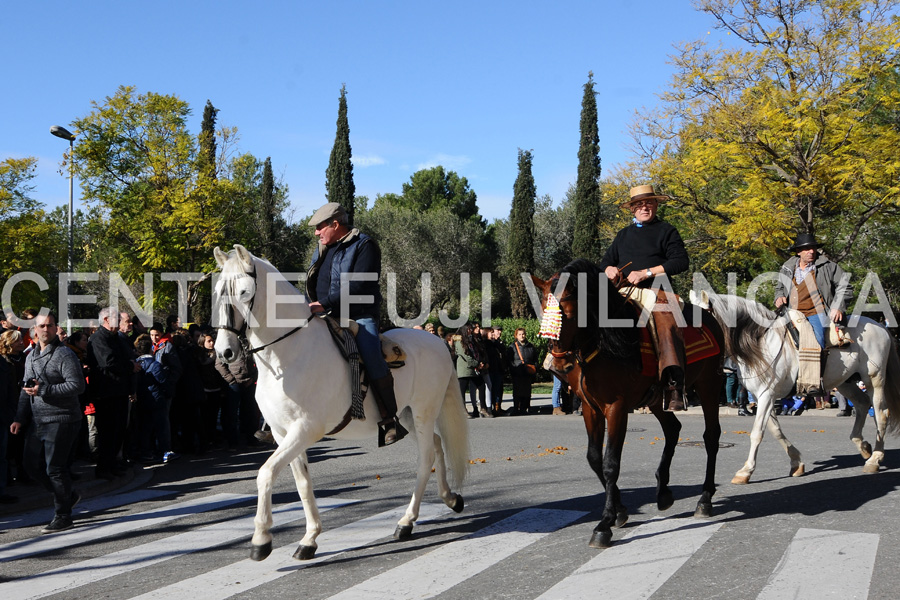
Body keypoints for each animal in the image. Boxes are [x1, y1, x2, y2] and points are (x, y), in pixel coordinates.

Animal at [214, 245, 468, 564]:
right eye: (217, 291)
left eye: (245, 292)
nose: (224, 352)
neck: (288, 354)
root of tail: (437, 342)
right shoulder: (284, 435)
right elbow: (302, 483)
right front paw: (309, 539)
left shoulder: (305, 430)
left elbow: (266, 473)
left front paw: (261, 539)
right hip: (408, 415)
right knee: (435, 445)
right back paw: (450, 499)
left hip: (423, 412)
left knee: (426, 458)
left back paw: (406, 521)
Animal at [536, 258, 724, 548]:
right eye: (542, 309)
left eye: (569, 311)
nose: (558, 365)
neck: (608, 341)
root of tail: (709, 316)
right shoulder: (590, 408)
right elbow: (595, 459)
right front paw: (620, 511)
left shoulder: (616, 408)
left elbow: (611, 463)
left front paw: (604, 524)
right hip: (658, 399)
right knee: (673, 429)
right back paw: (663, 491)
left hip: (709, 387)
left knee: (711, 436)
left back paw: (704, 499)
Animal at [692, 290, 896, 482]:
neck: (761, 344)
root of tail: (880, 326)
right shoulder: (762, 397)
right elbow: (775, 430)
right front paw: (796, 462)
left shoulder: (766, 395)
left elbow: (757, 433)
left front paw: (746, 471)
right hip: (845, 382)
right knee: (862, 404)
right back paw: (864, 447)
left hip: (874, 380)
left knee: (881, 414)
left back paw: (875, 459)